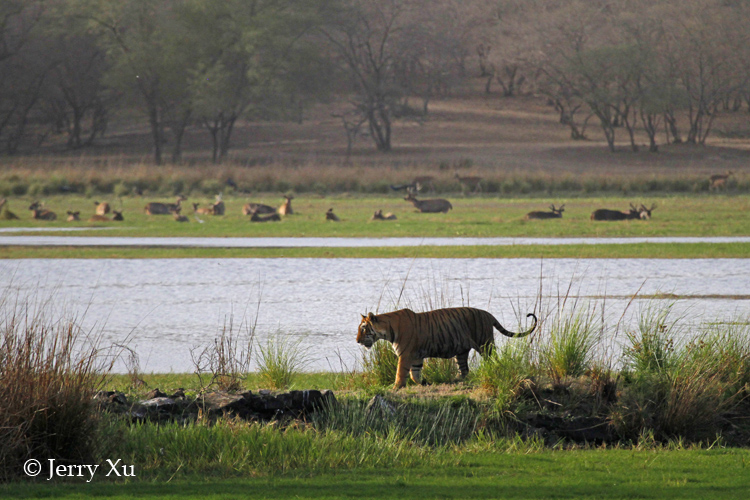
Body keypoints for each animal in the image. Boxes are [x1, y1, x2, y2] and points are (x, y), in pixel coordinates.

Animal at [356, 304, 536, 390]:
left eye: (363, 329)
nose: (357, 341)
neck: (387, 331)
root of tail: (488, 314)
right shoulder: (416, 357)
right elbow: (415, 375)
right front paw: (425, 382)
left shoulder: (405, 355)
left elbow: (401, 373)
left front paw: (396, 387)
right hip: (461, 352)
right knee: (465, 370)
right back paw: (457, 380)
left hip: (485, 345)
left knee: (494, 360)